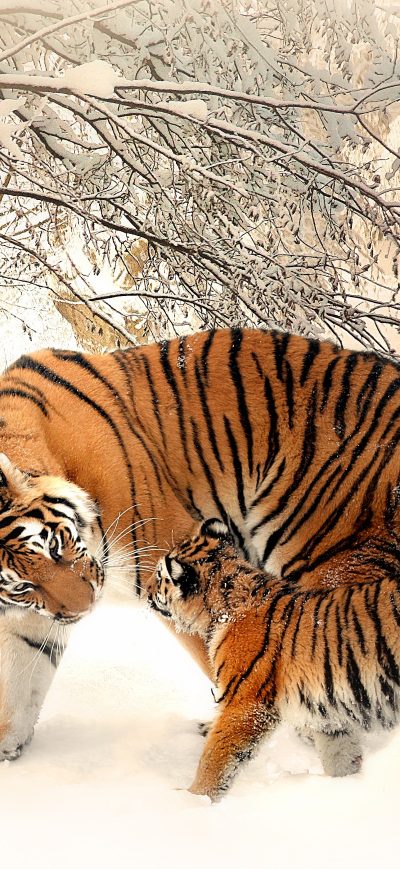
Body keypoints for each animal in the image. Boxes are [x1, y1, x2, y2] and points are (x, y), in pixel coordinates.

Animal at [0, 327, 400, 763]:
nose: (83, 610)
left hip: (333, 566)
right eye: (21, 586)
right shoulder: (34, 614)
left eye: (56, 546)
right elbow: (19, 679)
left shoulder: (172, 558)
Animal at [147, 518, 400, 800]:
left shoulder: (244, 705)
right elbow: (340, 755)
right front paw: (343, 785)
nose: (145, 591)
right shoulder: (328, 717)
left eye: (159, 576)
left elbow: (214, 759)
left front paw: (192, 798)